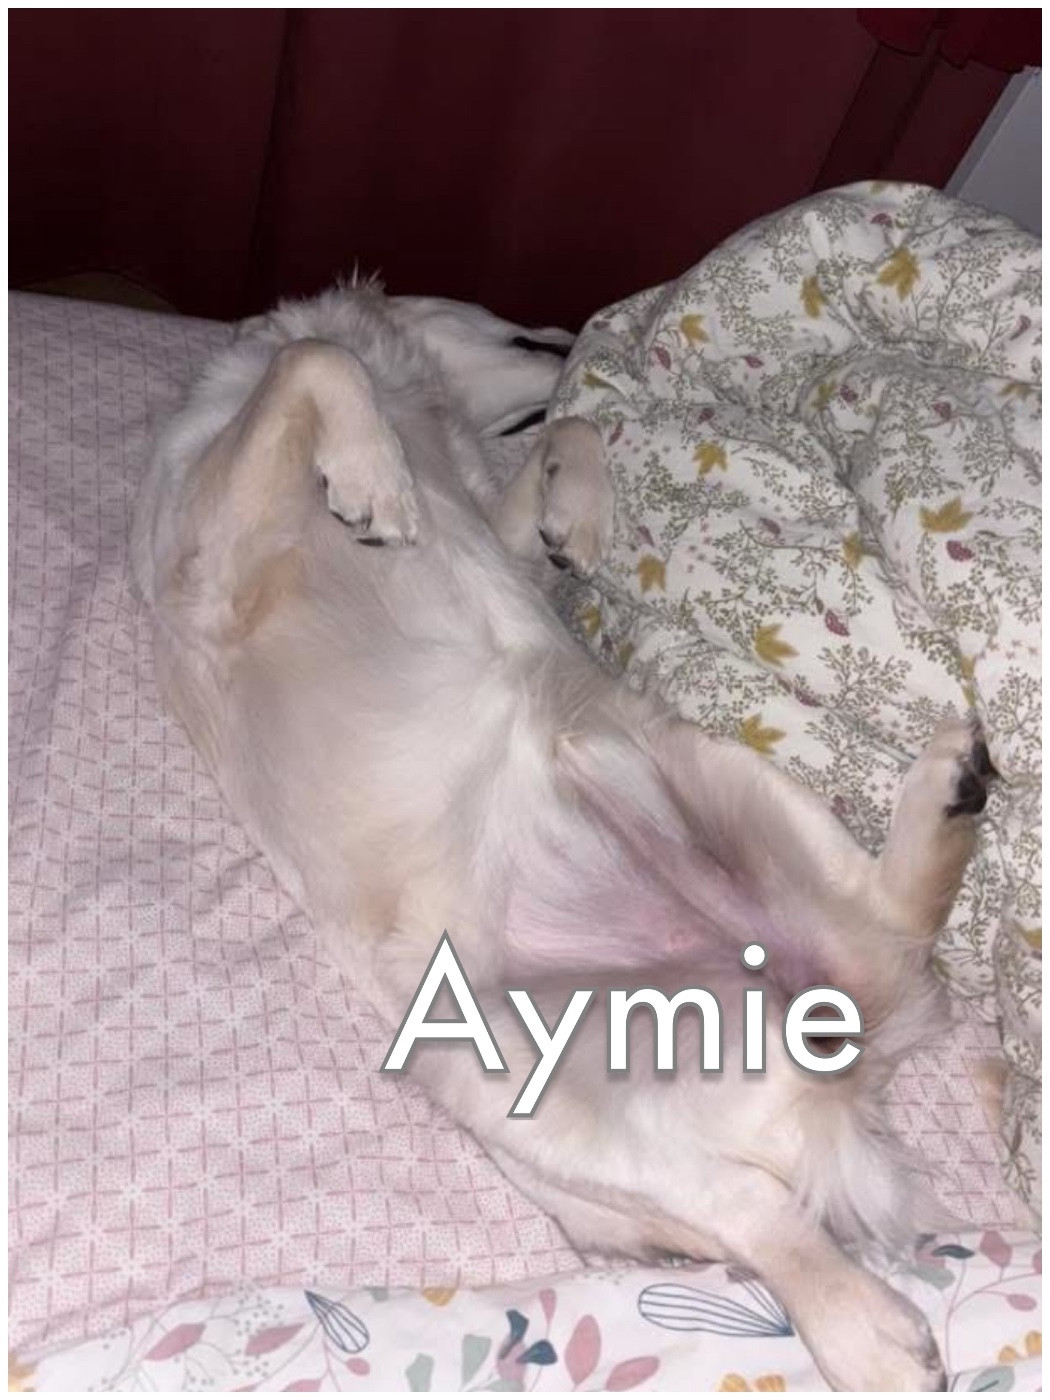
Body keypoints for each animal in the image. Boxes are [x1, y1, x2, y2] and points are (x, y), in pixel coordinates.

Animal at [131, 283, 994, 1390]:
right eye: (516, 330)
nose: (572, 335)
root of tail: (819, 1041)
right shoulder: (212, 551)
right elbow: (319, 360)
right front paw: (372, 479)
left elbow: (553, 443)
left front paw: (571, 508)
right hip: (498, 1074)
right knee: (753, 1211)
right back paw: (870, 1338)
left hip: (696, 765)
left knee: (896, 926)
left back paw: (949, 789)